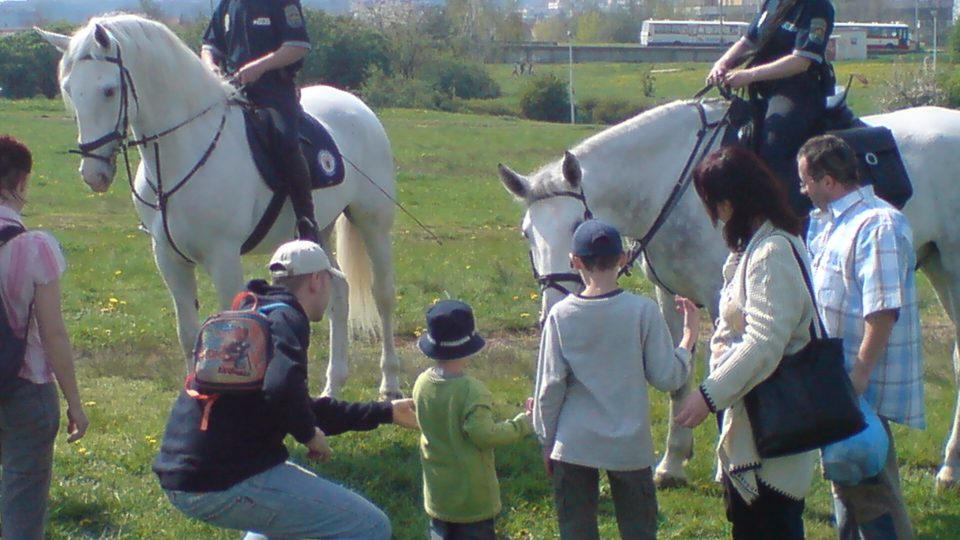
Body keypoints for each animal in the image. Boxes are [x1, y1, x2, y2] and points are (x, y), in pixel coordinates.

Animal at [38, 14, 402, 398]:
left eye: (108, 90)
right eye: (69, 89)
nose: (93, 174)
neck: (186, 150)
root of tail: (357, 107)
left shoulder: (223, 257)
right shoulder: (168, 259)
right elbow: (187, 334)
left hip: (373, 222)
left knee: (383, 296)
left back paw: (390, 384)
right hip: (319, 231)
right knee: (338, 293)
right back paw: (333, 386)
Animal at [498, 98, 960, 490]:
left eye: (578, 226)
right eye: (526, 234)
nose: (555, 308)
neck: (674, 184)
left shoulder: (728, 295)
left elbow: (729, 368)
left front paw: (728, 467)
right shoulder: (669, 298)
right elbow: (678, 377)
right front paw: (672, 463)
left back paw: (949, 468)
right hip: (937, 266)